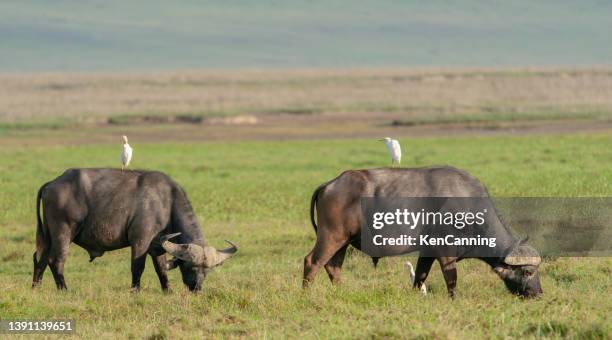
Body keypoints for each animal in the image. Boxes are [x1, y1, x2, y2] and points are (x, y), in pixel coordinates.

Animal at [31, 169, 238, 290]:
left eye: (207, 270)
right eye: (189, 266)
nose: (197, 288)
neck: (166, 202)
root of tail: (52, 183)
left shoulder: (158, 245)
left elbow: (161, 269)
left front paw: (168, 291)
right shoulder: (140, 241)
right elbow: (138, 267)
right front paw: (135, 290)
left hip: (48, 236)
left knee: (40, 259)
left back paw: (36, 287)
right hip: (63, 233)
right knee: (56, 260)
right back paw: (64, 290)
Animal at [304, 167, 544, 298]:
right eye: (527, 272)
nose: (538, 294)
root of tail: (330, 184)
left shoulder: (427, 252)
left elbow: (420, 276)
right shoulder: (446, 253)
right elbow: (451, 280)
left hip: (343, 241)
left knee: (333, 266)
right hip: (331, 236)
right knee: (312, 262)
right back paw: (305, 294)